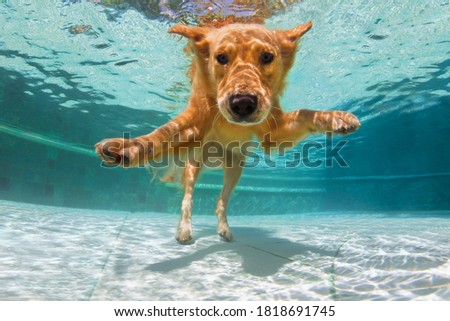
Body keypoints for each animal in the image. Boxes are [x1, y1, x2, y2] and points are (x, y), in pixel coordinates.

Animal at [96, 21, 362, 242]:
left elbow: (304, 113)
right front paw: (128, 147)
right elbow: (161, 134)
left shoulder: (273, 133)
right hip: (194, 163)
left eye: (267, 57)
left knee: (220, 201)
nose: (243, 103)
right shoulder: (194, 122)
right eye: (221, 57)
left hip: (236, 167)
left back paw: (224, 229)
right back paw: (184, 230)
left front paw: (336, 118)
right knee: (187, 197)